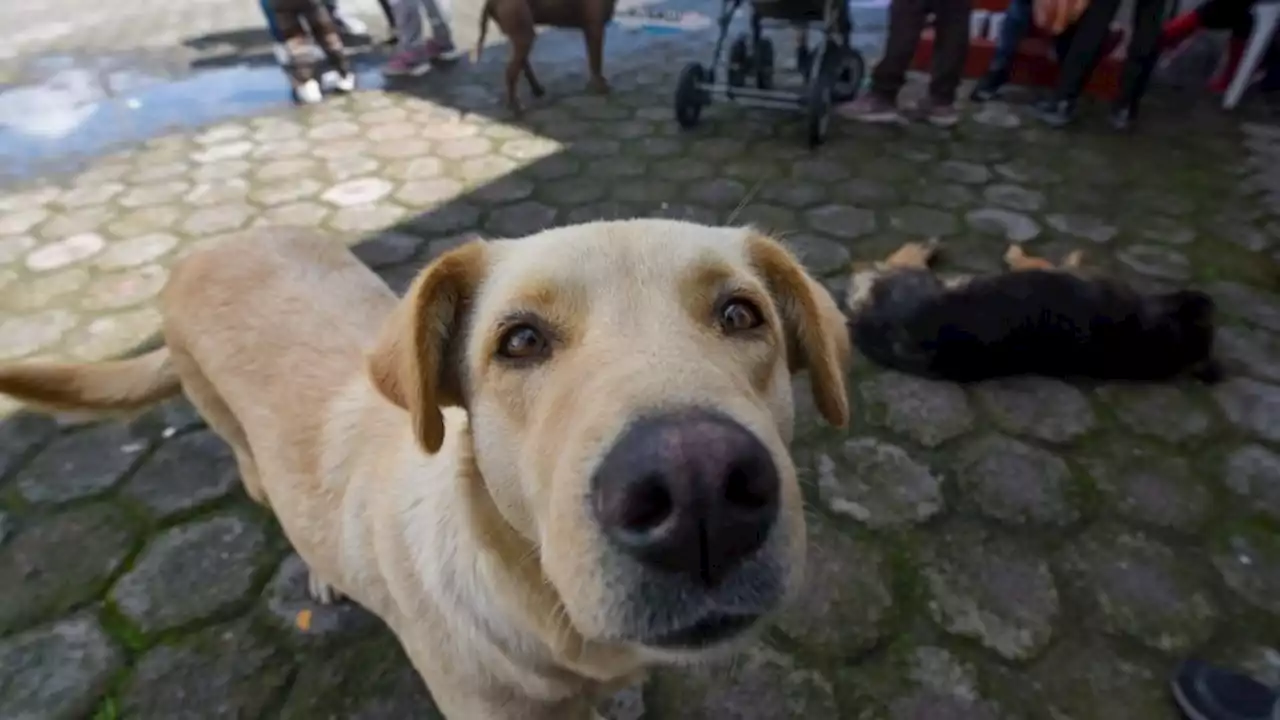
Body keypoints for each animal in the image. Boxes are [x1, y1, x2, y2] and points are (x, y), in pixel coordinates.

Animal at [0, 220, 849, 717]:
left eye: (741, 314)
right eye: (520, 340)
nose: (698, 488)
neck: (539, 607)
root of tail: (208, 246)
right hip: (238, 443)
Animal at [481, 0, 619, 112]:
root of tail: (490, 2)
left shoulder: (592, 29)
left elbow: (594, 60)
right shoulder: (595, 28)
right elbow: (596, 61)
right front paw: (601, 87)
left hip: (521, 34)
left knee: (521, 62)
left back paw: (536, 90)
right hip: (523, 31)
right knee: (512, 70)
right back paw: (515, 105)